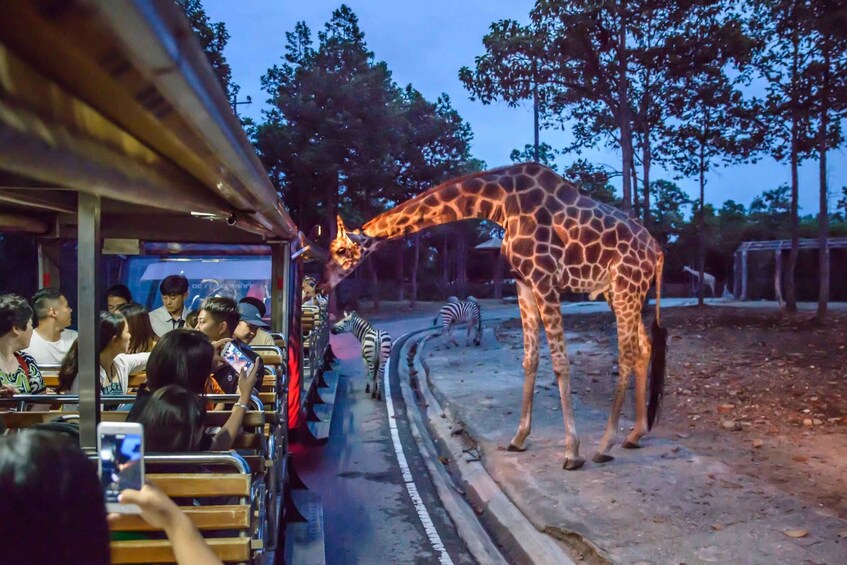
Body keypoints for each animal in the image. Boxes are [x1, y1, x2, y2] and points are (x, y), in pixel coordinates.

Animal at [319, 163, 667, 470]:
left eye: (340, 251)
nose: (322, 284)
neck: (501, 203)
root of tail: (657, 251)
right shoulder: (524, 283)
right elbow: (530, 359)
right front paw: (519, 439)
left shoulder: (545, 280)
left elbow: (559, 362)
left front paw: (572, 453)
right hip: (621, 293)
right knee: (644, 347)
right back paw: (635, 435)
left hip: (625, 288)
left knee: (627, 353)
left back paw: (605, 446)